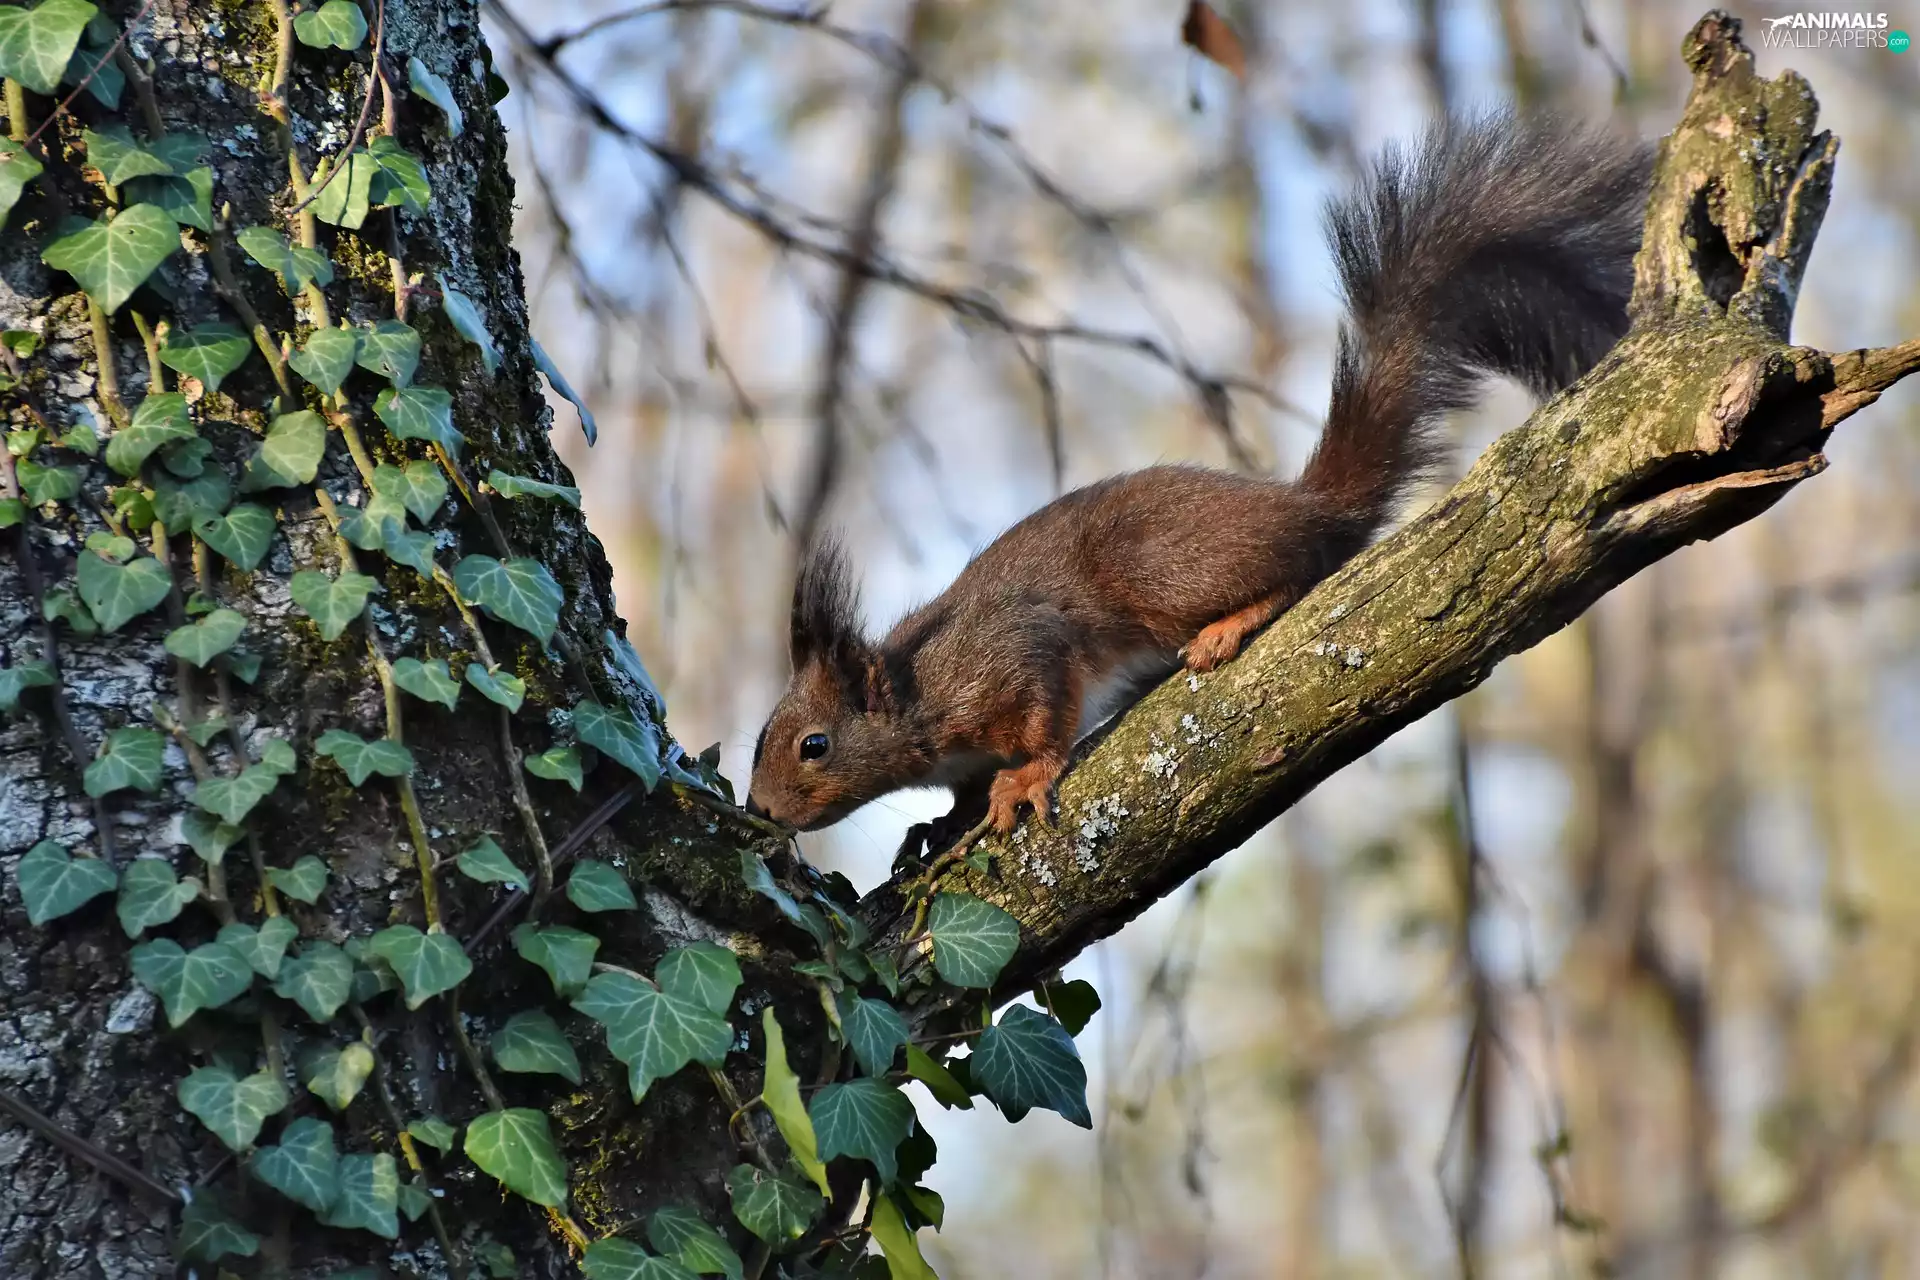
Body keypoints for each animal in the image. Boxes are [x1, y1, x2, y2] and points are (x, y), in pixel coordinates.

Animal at [745, 112, 1653, 840]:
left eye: (813, 745)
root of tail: (1303, 502)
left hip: (1158, 569)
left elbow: (1044, 713)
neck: (917, 689)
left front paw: (1024, 779)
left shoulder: (1008, 658)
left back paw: (1230, 625)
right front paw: (939, 827)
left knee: (1298, 568)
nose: (761, 812)